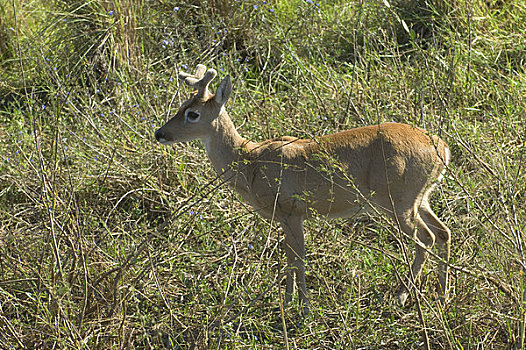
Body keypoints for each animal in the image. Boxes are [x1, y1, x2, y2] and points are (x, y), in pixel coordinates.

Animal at [154, 63, 454, 314]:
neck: (251, 162)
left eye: (193, 114)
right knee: (443, 232)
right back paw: (442, 294)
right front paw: (289, 302)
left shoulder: (291, 211)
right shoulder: (288, 217)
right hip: (420, 197)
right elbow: (290, 257)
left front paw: (303, 307)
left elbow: (298, 258)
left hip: (397, 200)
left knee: (425, 238)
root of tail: (443, 149)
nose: (160, 133)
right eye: (181, 105)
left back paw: (400, 296)